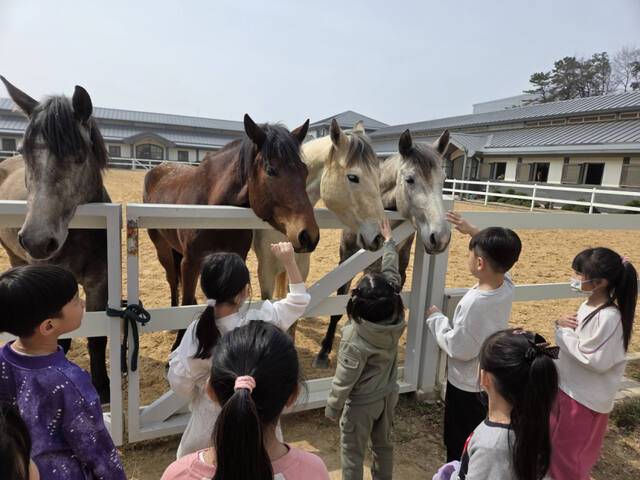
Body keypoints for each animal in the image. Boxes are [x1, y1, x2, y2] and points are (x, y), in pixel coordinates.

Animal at [0, 76, 112, 402]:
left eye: (79, 156)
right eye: (25, 151)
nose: (37, 241)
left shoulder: (99, 281)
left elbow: (97, 337)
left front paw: (103, 387)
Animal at [143, 114, 320, 351]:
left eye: (305, 170)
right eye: (271, 170)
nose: (309, 235)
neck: (213, 210)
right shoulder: (190, 262)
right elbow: (186, 302)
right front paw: (179, 343)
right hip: (162, 248)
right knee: (172, 280)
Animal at [312, 128, 452, 368]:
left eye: (443, 180)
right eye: (410, 179)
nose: (441, 237)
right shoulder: (346, 259)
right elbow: (338, 306)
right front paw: (323, 351)